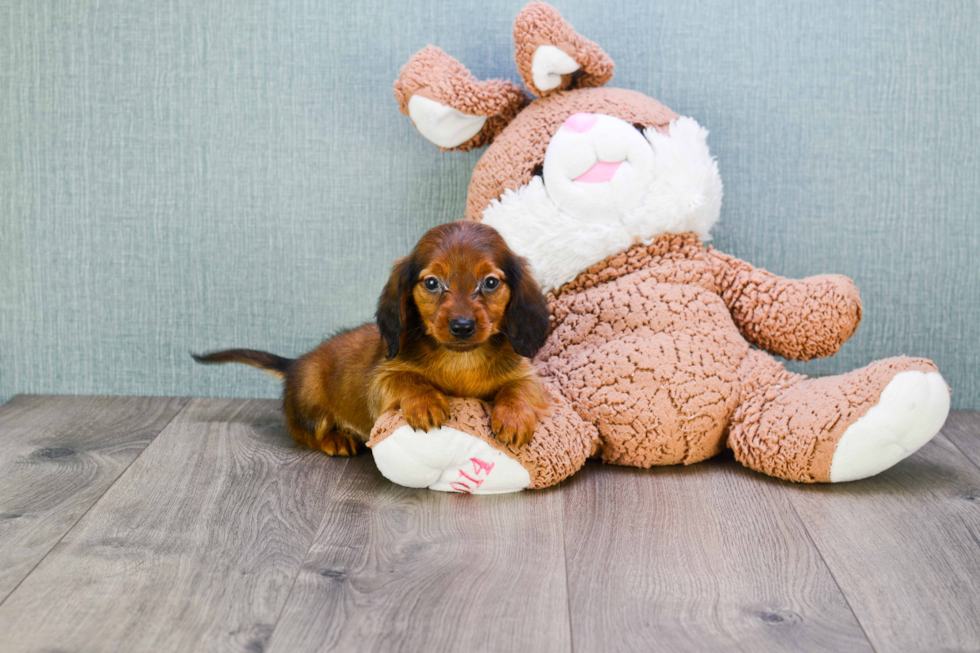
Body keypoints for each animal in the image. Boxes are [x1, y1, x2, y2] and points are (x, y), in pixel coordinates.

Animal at [193, 219, 552, 454]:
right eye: (432, 283)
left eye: (490, 283)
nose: (462, 326)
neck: (460, 359)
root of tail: (296, 363)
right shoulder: (381, 381)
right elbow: (410, 380)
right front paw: (426, 403)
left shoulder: (527, 377)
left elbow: (518, 389)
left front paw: (514, 417)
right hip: (311, 402)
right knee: (303, 432)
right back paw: (336, 439)